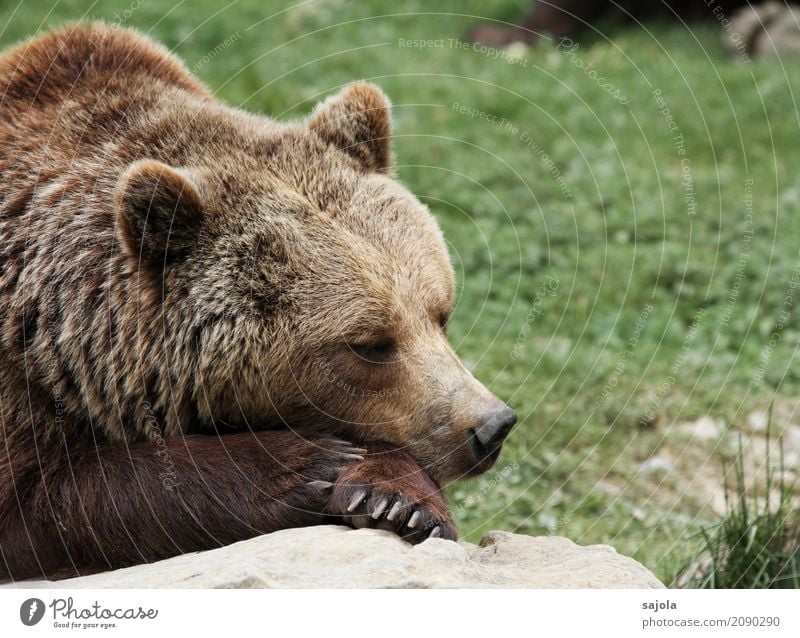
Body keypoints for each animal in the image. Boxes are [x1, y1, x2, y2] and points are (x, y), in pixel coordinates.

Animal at [0, 22, 516, 584]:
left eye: (440, 314)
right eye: (370, 344)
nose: (490, 426)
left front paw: (399, 499)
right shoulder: (22, 382)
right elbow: (40, 498)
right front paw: (308, 463)